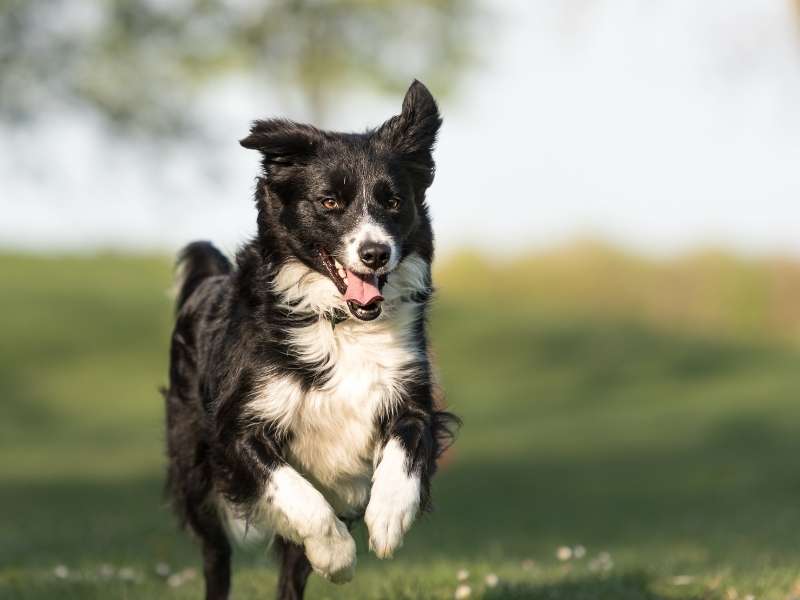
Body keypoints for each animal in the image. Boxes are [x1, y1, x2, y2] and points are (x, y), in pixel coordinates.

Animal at [165, 81, 460, 600]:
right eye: (330, 202)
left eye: (394, 202)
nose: (375, 252)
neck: (340, 323)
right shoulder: (235, 429)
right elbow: (296, 494)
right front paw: (337, 555)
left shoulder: (410, 395)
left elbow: (407, 447)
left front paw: (388, 518)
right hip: (193, 469)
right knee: (216, 556)